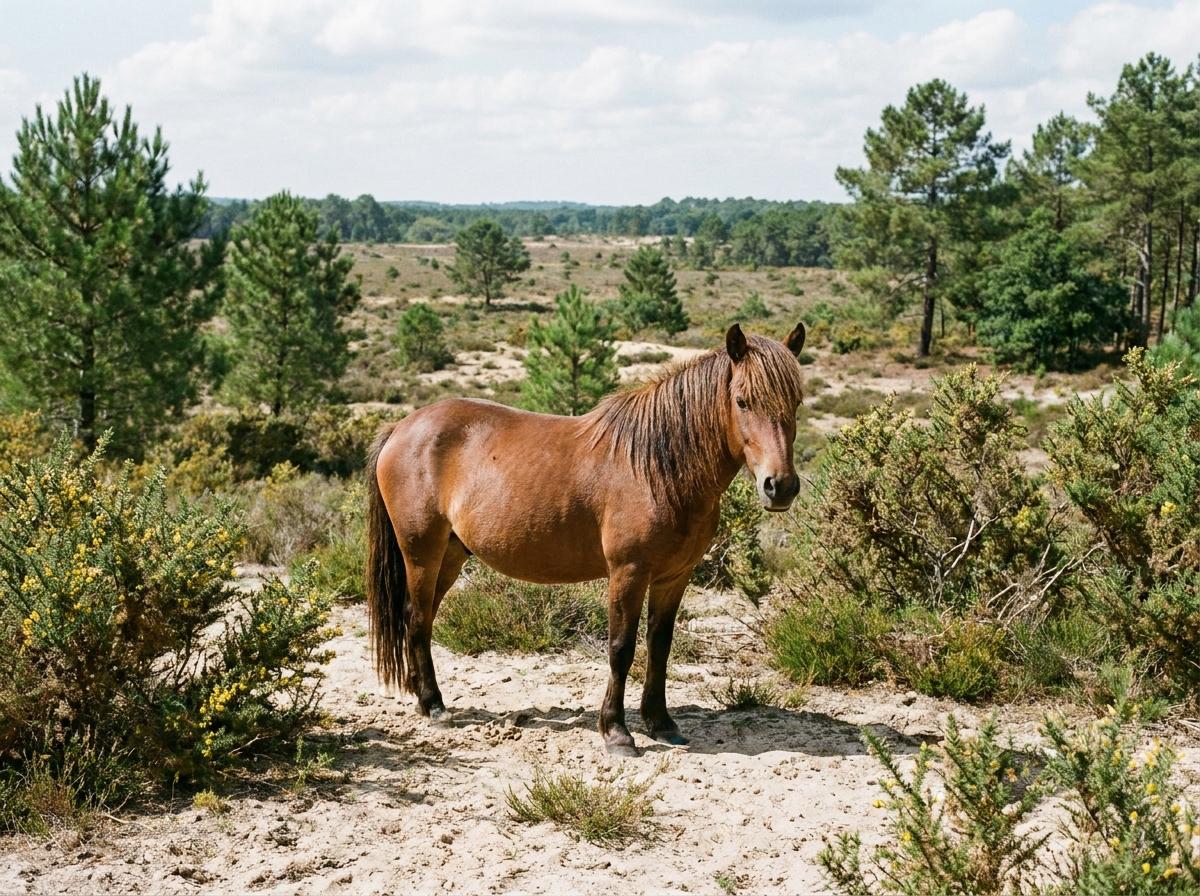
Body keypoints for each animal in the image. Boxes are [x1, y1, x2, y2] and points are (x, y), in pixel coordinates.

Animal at [365, 322, 807, 756]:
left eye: (797, 403)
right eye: (743, 401)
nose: (780, 486)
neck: (658, 468)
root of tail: (400, 427)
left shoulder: (674, 577)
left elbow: (660, 645)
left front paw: (661, 723)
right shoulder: (628, 573)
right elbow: (621, 648)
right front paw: (617, 732)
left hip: (452, 555)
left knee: (423, 618)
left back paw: (423, 697)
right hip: (421, 552)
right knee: (416, 617)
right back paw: (435, 706)